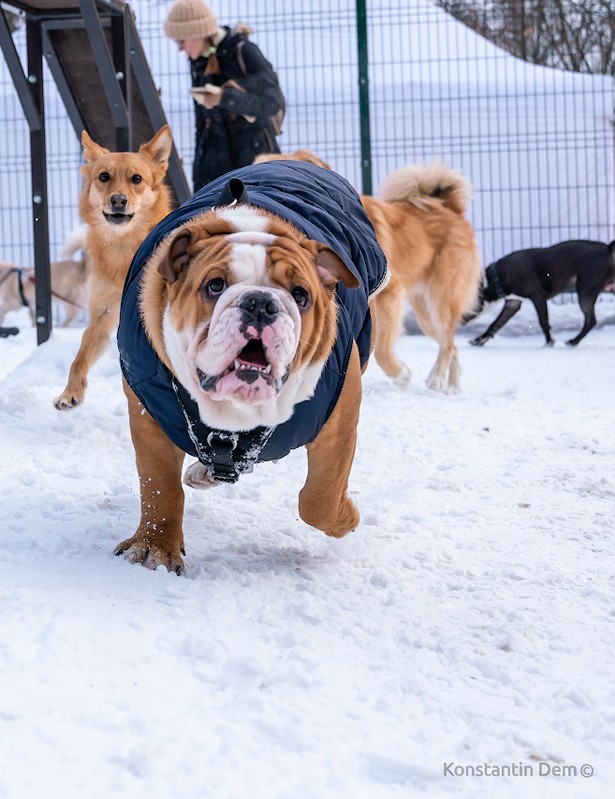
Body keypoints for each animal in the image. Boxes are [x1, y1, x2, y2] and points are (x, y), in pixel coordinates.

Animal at [54, 129, 173, 412]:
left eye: (136, 179)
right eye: (103, 176)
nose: (118, 200)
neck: (123, 248)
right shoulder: (103, 313)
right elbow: (80, 355)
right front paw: (71, 392)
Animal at [113, 164, 388, 576]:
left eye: (300, 295)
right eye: (214, 286)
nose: (260, 303)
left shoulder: (339, 418)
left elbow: (319, 498)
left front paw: (348, 517)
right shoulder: (149, 413)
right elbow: (159, 486)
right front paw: (155, 549)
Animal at [254, 151, 482, 394]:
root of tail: (450, 208)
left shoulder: (388, 292)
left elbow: (381, 349)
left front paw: (401, 376)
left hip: (438, 303)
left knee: (447, 341)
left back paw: (437, 379)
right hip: (424, 312)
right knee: (451, 343)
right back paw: (452, 385)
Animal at [466, 241, 615, 346]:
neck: (494, 279)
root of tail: (608, 249)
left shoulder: (538, 297)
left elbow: (543, 321)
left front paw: (550, 341)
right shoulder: (512, 303)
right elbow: (495, 324)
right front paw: (479, 340)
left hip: (584, 292)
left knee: (591, 320)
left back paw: (573, 341)